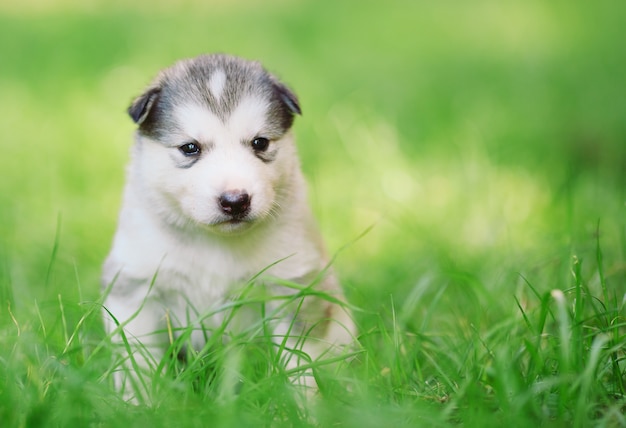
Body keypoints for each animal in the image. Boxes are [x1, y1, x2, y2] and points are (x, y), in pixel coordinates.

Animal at [100, 54, 354, 402]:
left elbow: (297, 356)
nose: (235, 201)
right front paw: (138, 402)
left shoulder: (291, 285)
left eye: (260, 142)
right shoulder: (135, 286)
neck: (214, 242)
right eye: (190, 148)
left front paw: (303, 403)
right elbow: (137, 360)